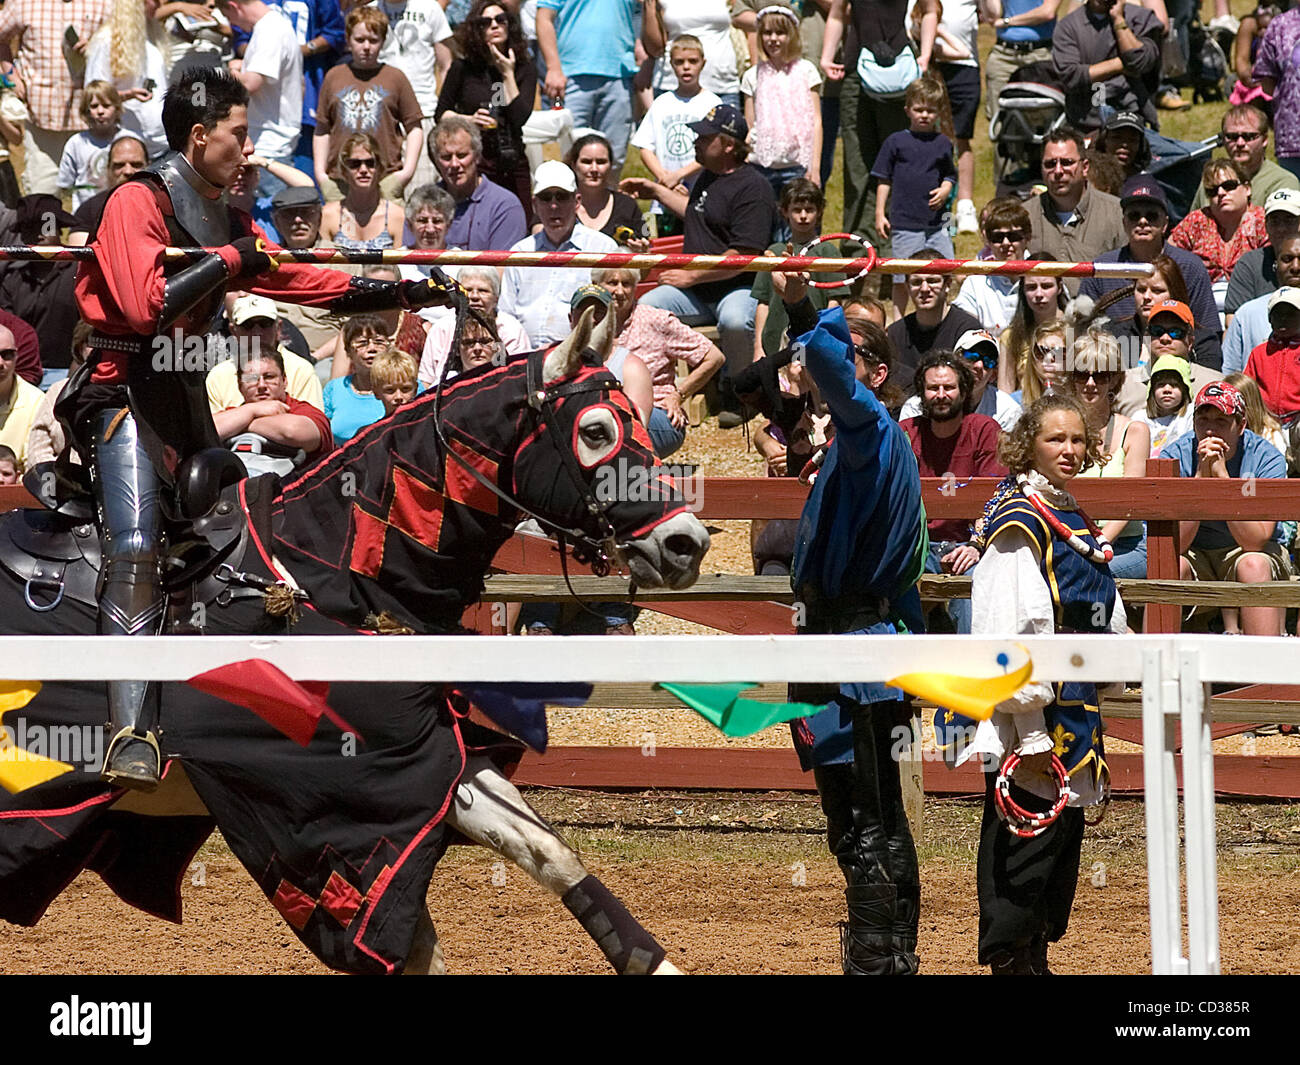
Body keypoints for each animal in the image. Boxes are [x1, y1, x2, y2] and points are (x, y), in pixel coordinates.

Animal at [0, 308, 712, 972]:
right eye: (596, 431)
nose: (688, 543)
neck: (329, 573)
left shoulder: (425, 762)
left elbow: (548, 852)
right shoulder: (340, 812)